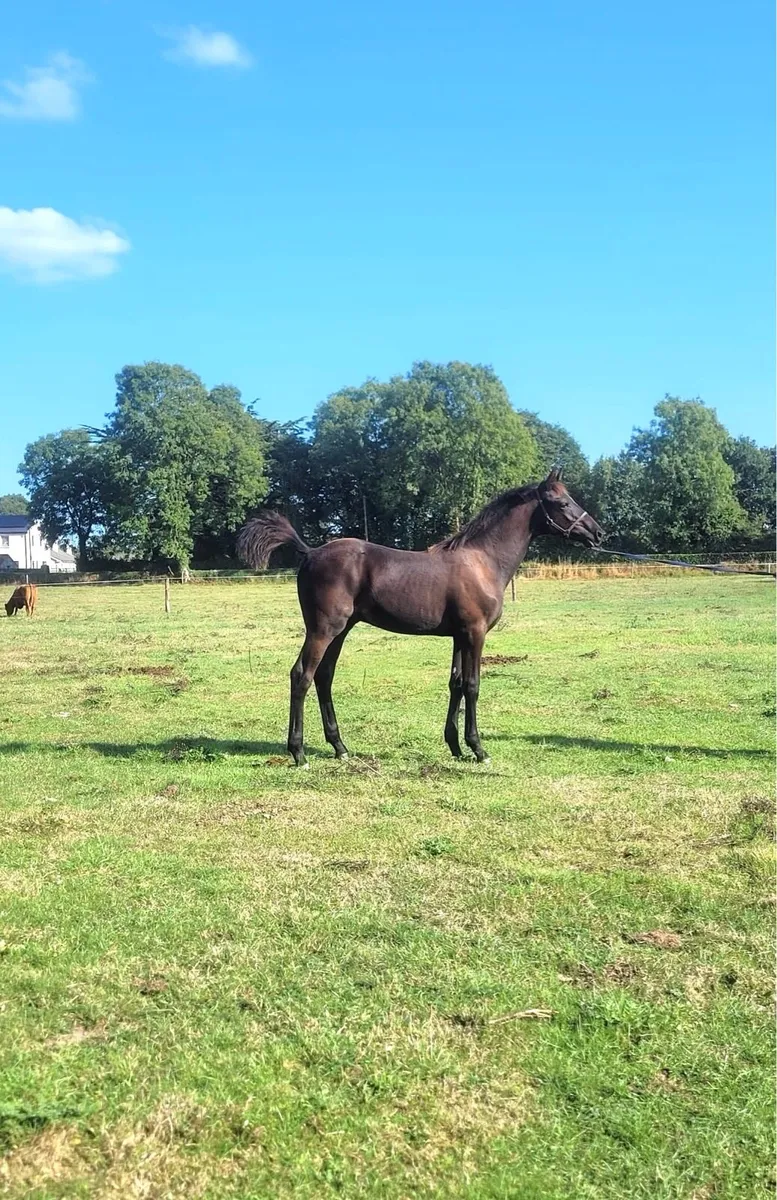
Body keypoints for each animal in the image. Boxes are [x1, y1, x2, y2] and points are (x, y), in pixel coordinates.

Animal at [237, 468, 604, 766]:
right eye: (562, 502)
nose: (598, 534)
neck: (482, 562)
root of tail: (311, 552)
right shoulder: (475, 633)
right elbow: (473, 685)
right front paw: (478, 749)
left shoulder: (459, 635)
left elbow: (456, 683)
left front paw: (455, 747)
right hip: (323, 629)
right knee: (302, 675)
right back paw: (298, 753)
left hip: (340, 630)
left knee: (324, 676)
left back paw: (340, 747)